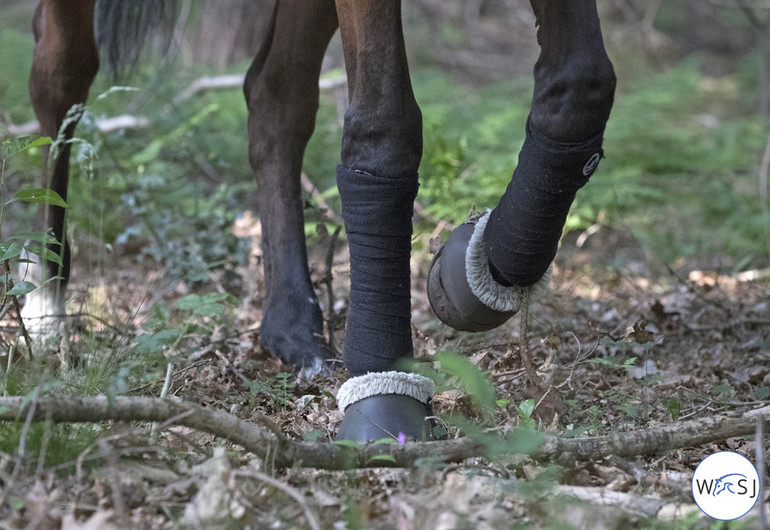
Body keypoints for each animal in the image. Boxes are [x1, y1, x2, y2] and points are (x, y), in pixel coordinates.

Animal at [21, 0, 616, 438]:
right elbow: (384, 127)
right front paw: (384, 391)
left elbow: (581, 86)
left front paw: (485, 265)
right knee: (61, 70)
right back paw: (46, 298)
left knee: (275, 99)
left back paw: (294, 328)